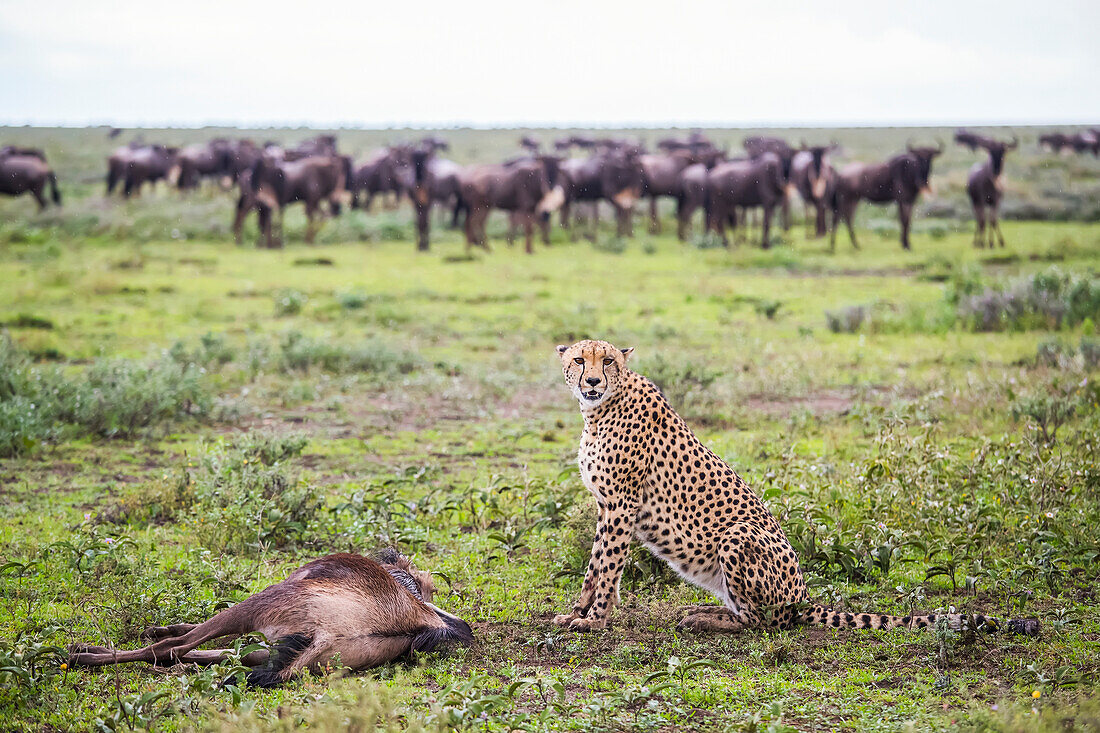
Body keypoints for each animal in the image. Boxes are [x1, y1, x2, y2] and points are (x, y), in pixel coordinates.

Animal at [554, 338, 1034, 633]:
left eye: (608, 361)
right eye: (579, 360)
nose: (592, 381)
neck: (599, 409)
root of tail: (804, 595)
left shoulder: (621, 504)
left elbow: (605, 564)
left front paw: (593, 620)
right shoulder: (608, 506)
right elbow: (598, 566)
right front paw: (580, 612)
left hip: (738, 536)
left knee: (765, 621)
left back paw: (704, 619)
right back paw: (702, 609)